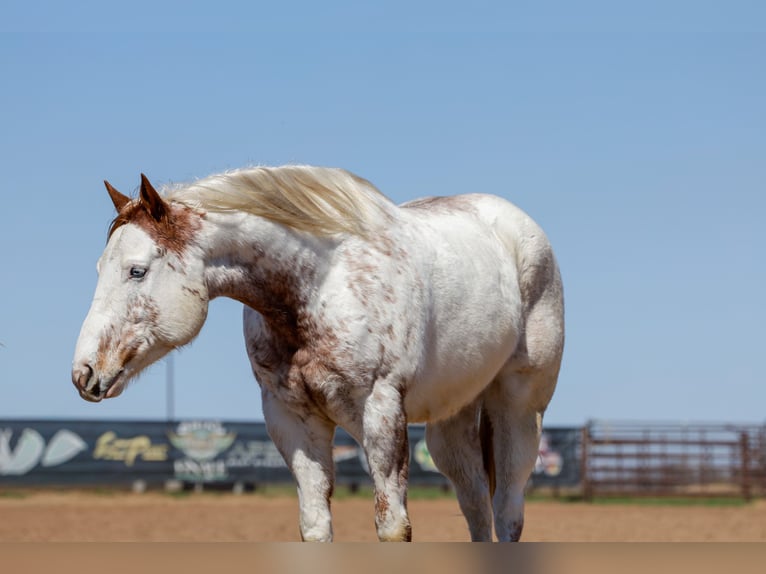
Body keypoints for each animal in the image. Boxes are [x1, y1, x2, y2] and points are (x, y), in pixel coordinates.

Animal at [71, 166, 564, 542]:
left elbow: (392, 526)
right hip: (453, 421)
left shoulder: (382, 413)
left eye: (136, 270)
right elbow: (315, 524)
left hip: (518, 411)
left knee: (507, 510)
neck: (321, 285)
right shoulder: (292, 418)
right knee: (476, 505)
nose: (84, 373)